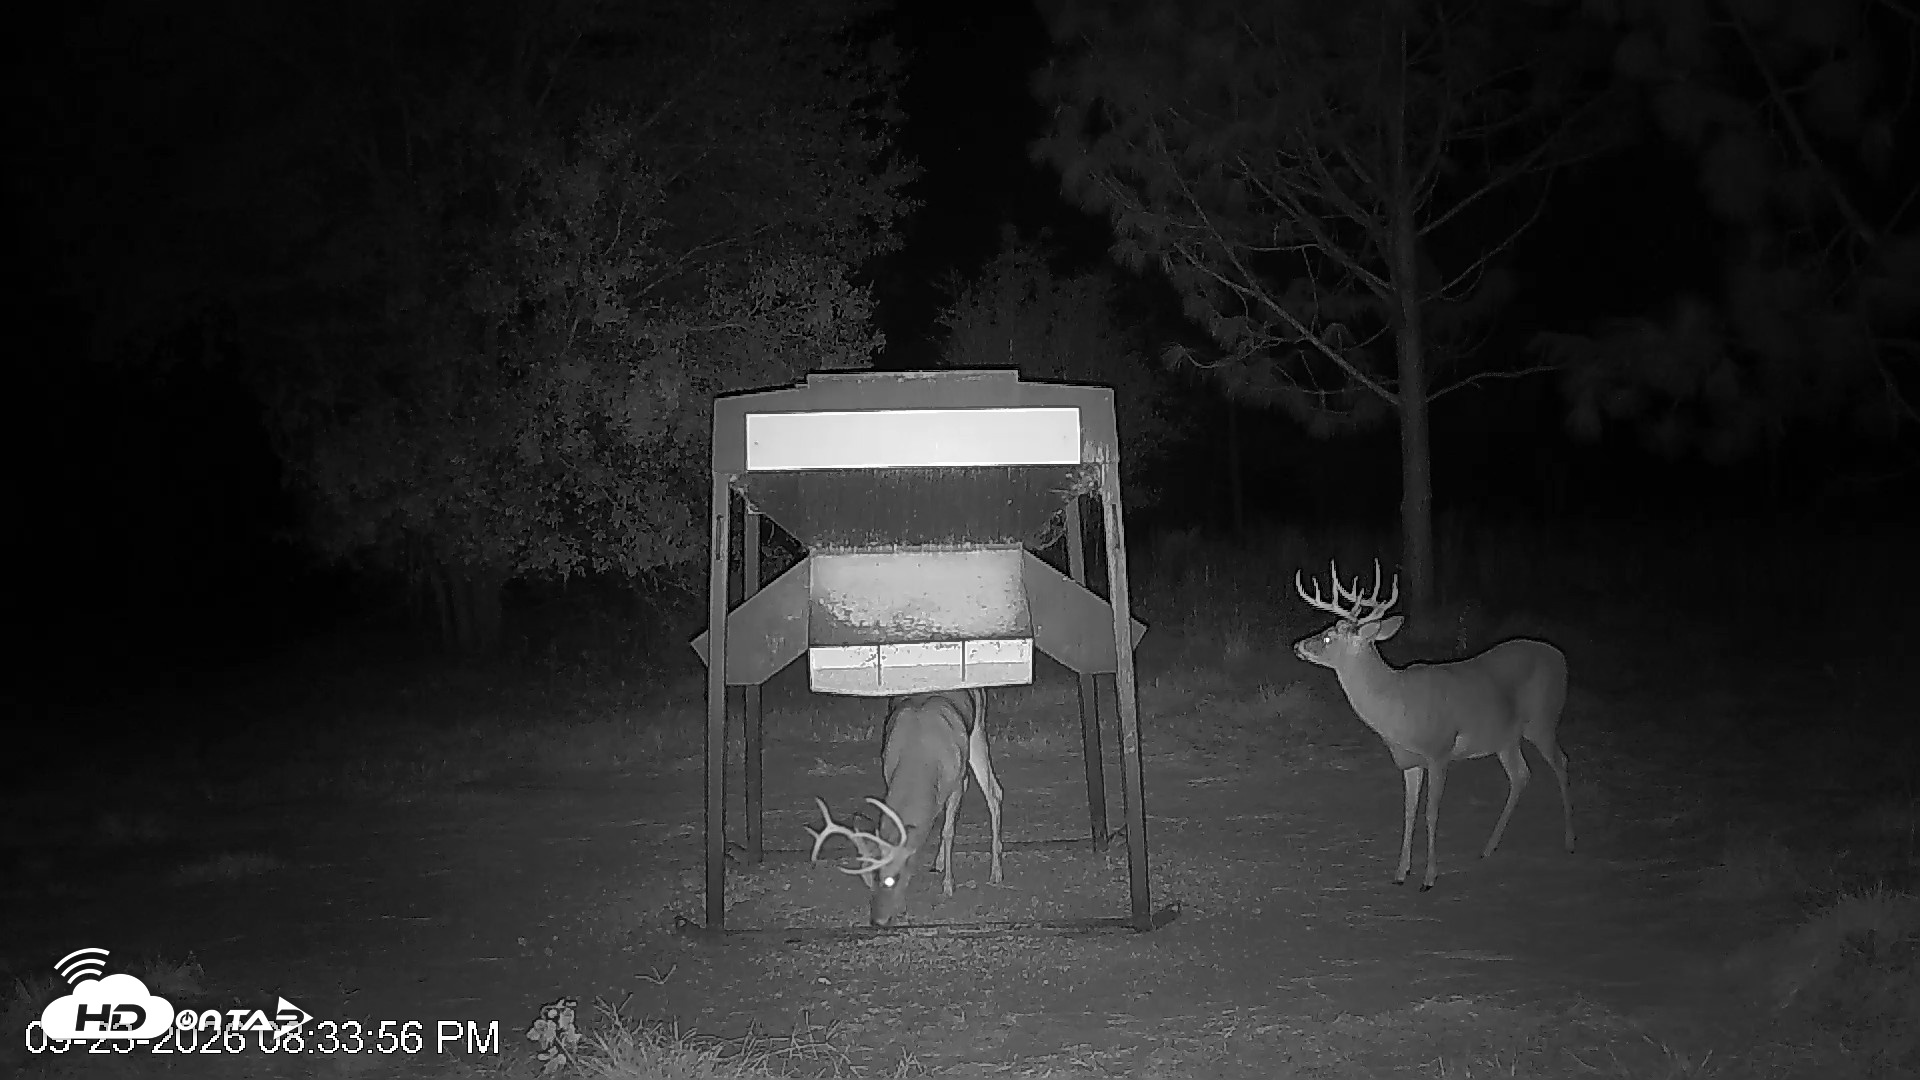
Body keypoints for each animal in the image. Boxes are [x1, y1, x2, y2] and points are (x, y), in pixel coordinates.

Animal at [806, 687, 1005, 926]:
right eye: (869, 876)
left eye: (895, 878)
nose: (877, 921)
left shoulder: (955, 782)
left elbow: (949, 831)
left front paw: (948, 885)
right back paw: (939, 862)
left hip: (977, 733)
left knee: (994, 792)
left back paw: (996, 872)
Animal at [1293, 559, 1574, 891]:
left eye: (1328, 637)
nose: (1298, 645)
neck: (1397, 707)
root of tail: (1561, 657)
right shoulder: (1410, 760)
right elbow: (1408, 812)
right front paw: (1401, 872)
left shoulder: (1440, 750)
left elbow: (1431, 812)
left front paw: (1429, 877)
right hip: (1506, 737)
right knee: (1521, 775)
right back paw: (1488, 848)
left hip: (1543, 719)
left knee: (1561, 762)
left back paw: (1569, 841)